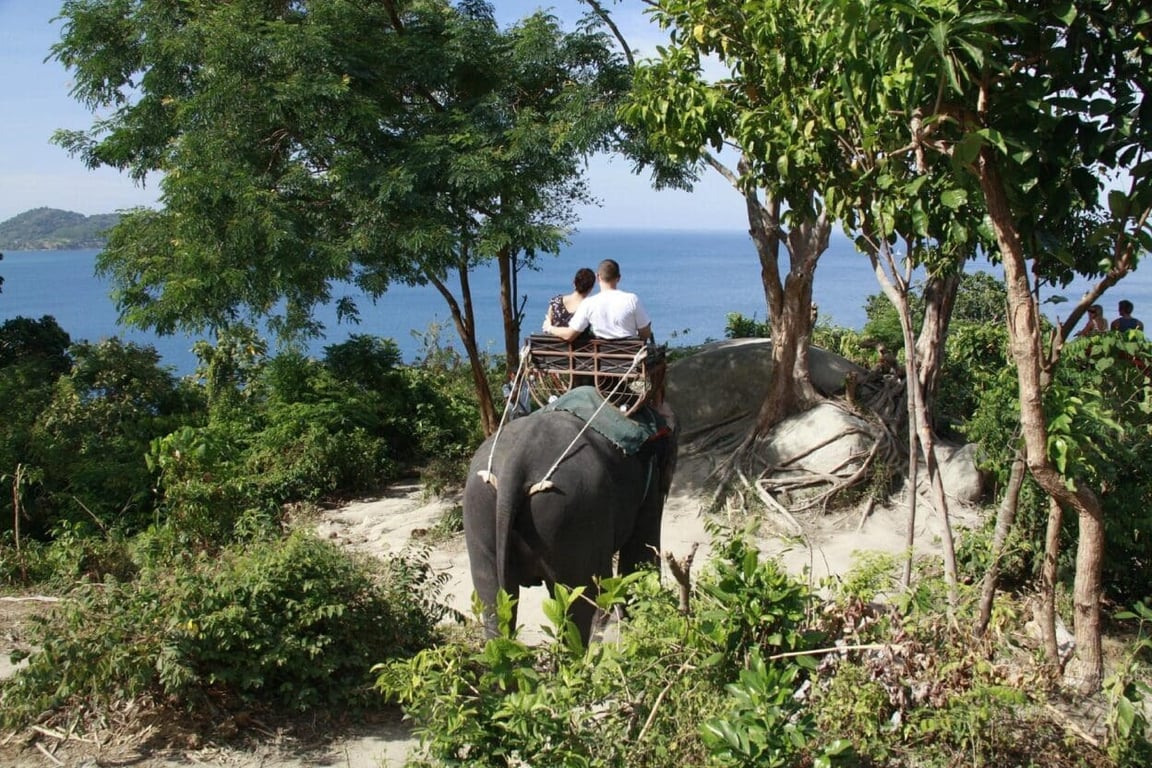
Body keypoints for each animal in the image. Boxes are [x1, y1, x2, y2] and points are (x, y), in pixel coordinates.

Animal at [463, 399, 678, 646]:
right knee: (580, 601)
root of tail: (515, 463)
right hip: (573, 514)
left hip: (479, 510)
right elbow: (641, 553)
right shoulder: (648, 486)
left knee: (494, 601)